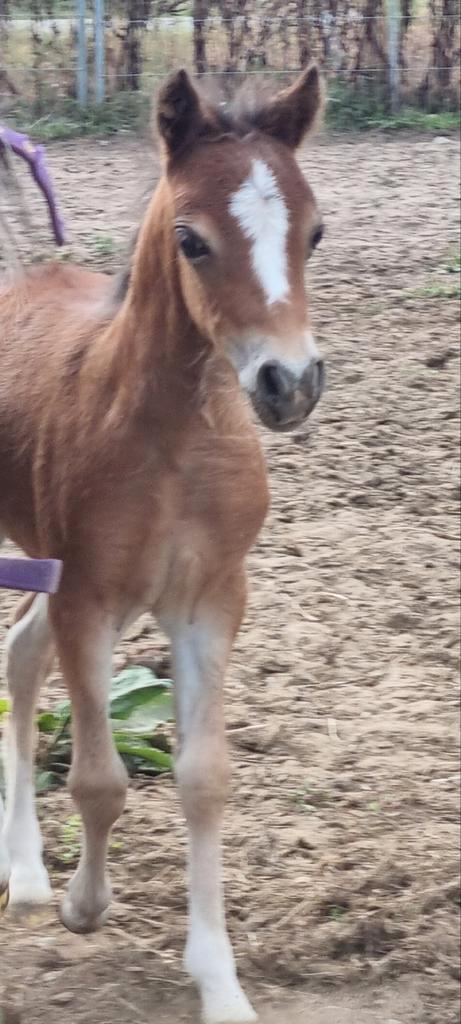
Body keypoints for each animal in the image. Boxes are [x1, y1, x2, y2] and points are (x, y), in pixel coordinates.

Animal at [0, 67, 325, 1023]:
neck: (173, 436)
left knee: (19, 655)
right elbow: (101, 779)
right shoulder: (90, 599)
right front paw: (86, 905)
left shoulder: (211, 600)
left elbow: (202, 778)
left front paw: (218, 981)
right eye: (190, 239)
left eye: (314, 231)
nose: (288, 384)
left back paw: (25, 874)